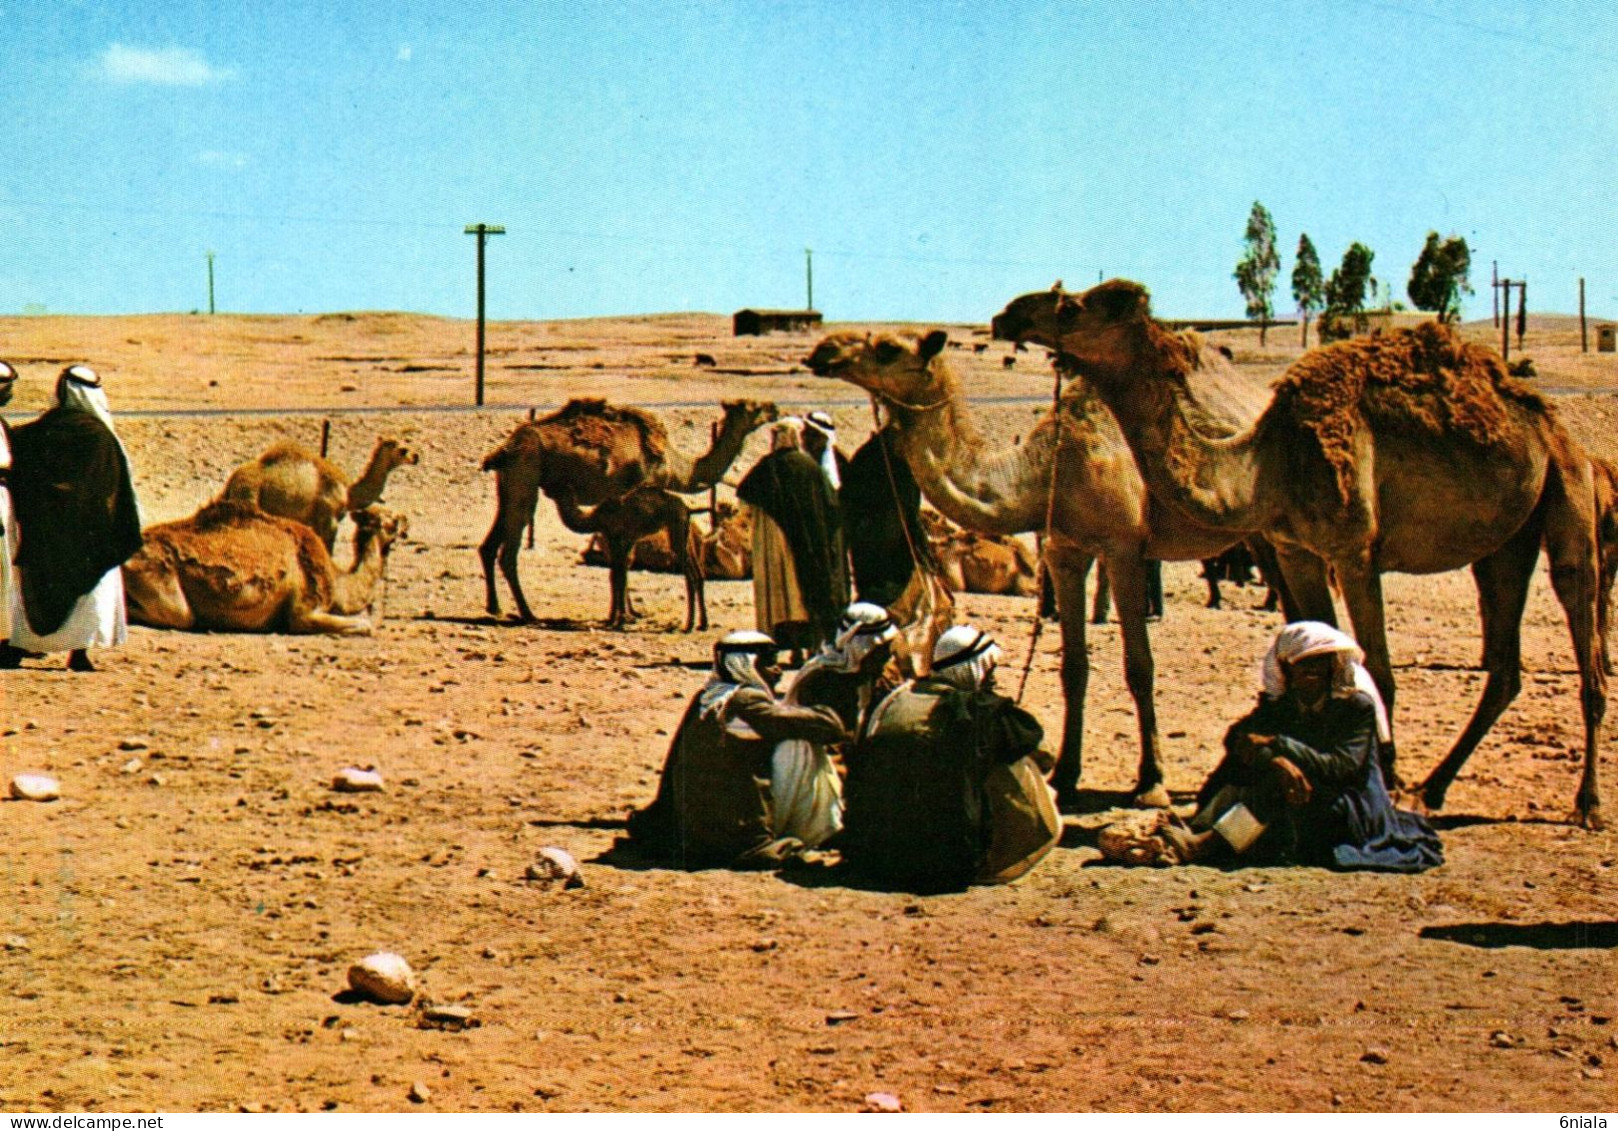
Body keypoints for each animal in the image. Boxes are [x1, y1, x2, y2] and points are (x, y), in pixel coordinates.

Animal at [122, 501, 407, 637]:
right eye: (393, 519)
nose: (406, 521)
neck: (338, 582)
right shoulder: (303, 613)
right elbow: (366, 625)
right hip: (164, 587)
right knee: (180, 615)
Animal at [472, 398, 776, 624]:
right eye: (753, 407)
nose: (774, 408)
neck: (674, 465)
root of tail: (503, 450)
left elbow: (622, 560)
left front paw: (628, 612)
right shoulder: (637, 491)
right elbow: (625, 559)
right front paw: (625, 614)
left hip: (508, 485)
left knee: (489, 545)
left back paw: (495, 607)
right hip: (525, 477)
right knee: (510, 549)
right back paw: (528, 614)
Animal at [809, 325, 1300, 805]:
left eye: (889, 348)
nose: (823, 350)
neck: (1050, 473)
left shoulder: (1123, 549)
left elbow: (1139, 666)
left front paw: (1151, 781)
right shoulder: (1064, 552)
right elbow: (1074, 667)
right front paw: (1065, 773)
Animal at [990, 281, 1611, 834]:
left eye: (1071, 307)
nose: (1005, 315)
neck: (1272, 463)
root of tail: (1547, 421)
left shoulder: (1353, 550)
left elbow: (1376, 674)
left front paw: (1383, 782)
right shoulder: (1296, 551)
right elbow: (1320, 653)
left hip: (1569, 493)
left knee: (1583, 624)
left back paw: (1587, 805)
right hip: (1505, 544)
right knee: (1505, 666)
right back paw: (1435, 787)